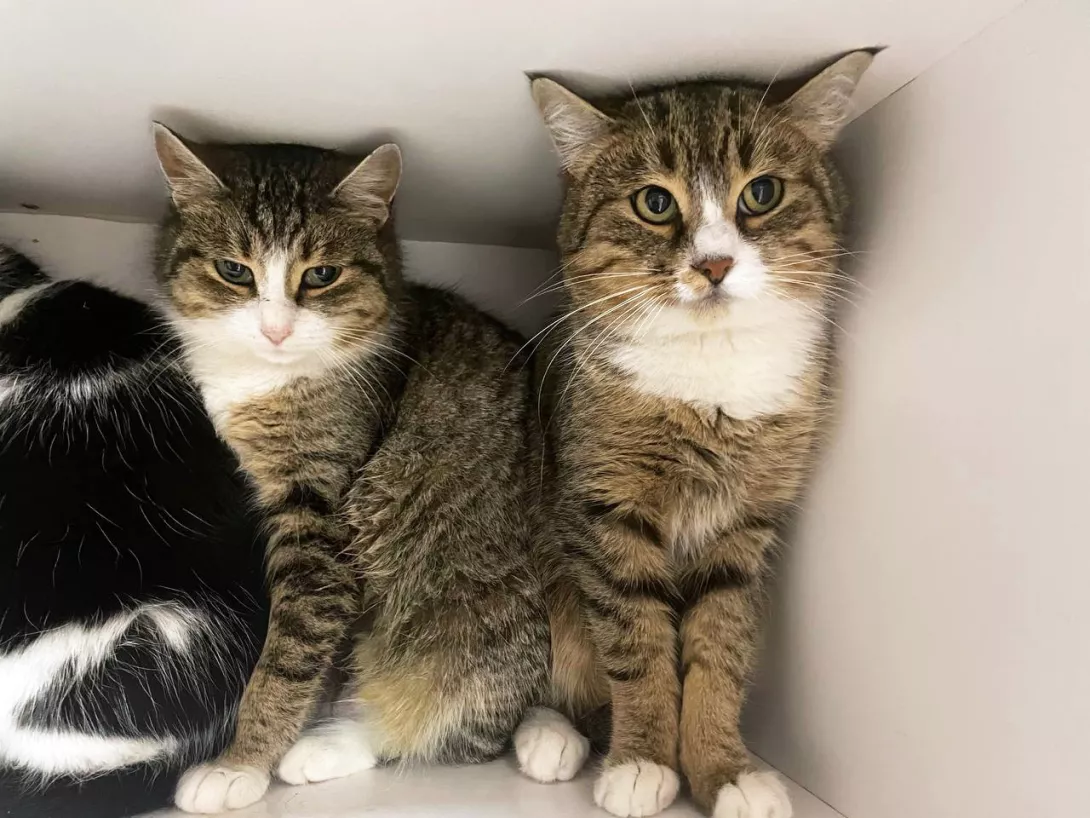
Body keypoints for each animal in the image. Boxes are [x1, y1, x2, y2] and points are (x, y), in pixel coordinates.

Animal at [151, 127, 549, 813]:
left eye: (322, 275)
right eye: (234, 271)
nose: (275, 329)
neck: (272, 379)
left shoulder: (321, 515)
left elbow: (290, 654)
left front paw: (240, 763)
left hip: (473, 622)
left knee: (459, 727)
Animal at [512, 52, 875, 818]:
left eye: (762, 192)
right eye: (654, 202)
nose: (714, 264)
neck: (712, 372)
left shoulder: (747, 525)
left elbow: (719, 647)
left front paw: (723, 768)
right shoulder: (607, 512)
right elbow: (638, 645)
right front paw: (643, 759)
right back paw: (553, 736)